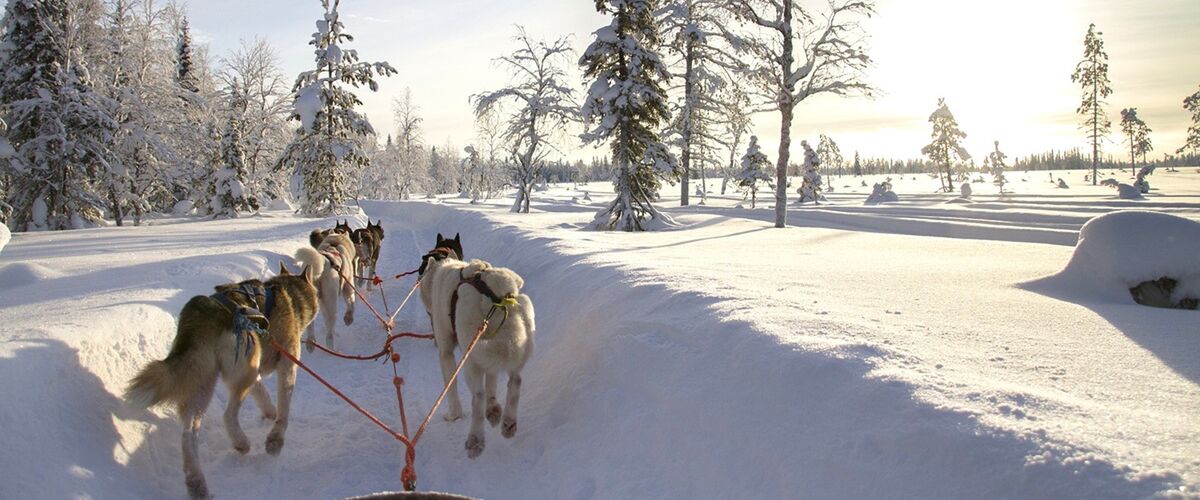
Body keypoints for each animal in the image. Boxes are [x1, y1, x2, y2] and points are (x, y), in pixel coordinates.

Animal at [125, 262, 319, 496]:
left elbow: (263, 394)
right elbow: (284, 408)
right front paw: (275, 439)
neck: (287, 294)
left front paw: (269, 413)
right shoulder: (287, 364)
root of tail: (204, 314)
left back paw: (196, 482)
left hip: (205, 384)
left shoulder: (255, 373)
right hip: (243, 372)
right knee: (228, 416)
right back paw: (241, 442)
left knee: (188, 434)